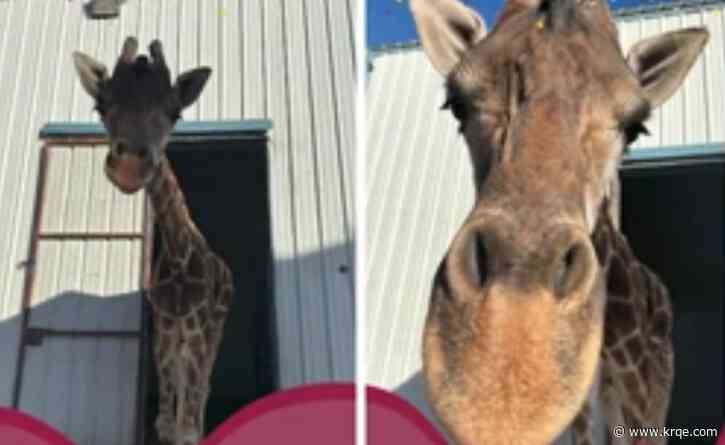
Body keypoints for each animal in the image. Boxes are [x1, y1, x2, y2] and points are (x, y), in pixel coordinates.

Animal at [72, 37, 234, 445]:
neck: (178, 258)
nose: (130, 168)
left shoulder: (195, 328)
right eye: (101, 105)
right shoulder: (164, 330)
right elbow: (165, 424)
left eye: (176, 112)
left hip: (215, 329)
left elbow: (186, 427)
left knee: (202, 390)